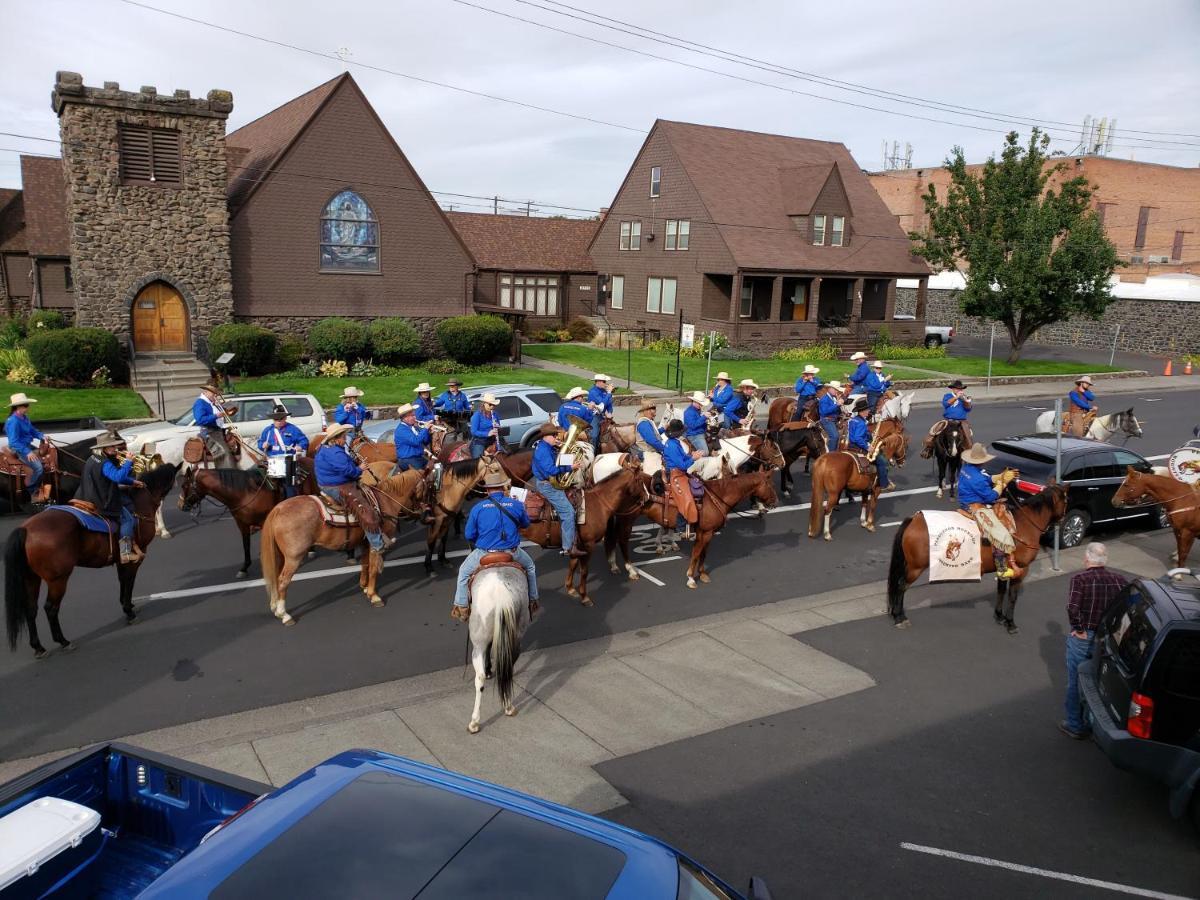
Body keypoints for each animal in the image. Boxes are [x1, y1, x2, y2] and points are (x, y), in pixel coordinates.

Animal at [4, 460, 180, 657]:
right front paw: (129, 612)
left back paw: (38, 647)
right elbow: (129, 582)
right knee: (50, 609)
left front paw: (128, 606)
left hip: (31, 578)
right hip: (58, 580)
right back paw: (64, 641)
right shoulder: (136, 558)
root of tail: (26, 529)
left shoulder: (121, 561)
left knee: (31, 609)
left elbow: (123, 582)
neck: (139, 504)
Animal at [177, 460, 316, 580]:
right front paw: (244, 568)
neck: (243, 493)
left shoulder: (264, 521)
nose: (180, 505)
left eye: (184, 485)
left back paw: (311, 550)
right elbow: (246, 545)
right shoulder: (242, 524)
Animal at [463, 566, 530, 734]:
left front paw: (487, 670)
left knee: (479, 678)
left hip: (478, 642)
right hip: (515, 637)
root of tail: (501, 593)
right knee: (506, 671)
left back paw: (474, 723)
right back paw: (508, 707)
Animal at [518, 453, 648, 609]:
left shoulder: (576, 545)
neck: (599, 502)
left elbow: (573, 564)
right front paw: (585, 597)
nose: (647, 497)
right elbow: (584, 572)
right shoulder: (588, 545)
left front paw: (570, 588)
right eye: (640, 480)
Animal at [883, 480, 1070, 633]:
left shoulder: (1003, 568)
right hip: (915, 567)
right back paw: (900, 617)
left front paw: (999, 616)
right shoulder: (1021, 569)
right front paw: (1010, 623)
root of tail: (914, 519)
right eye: (1066, 500)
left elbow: (1001, 590)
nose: (1063, 520)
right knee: (901, 586)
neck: (1025, 524)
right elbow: (1012, 597)